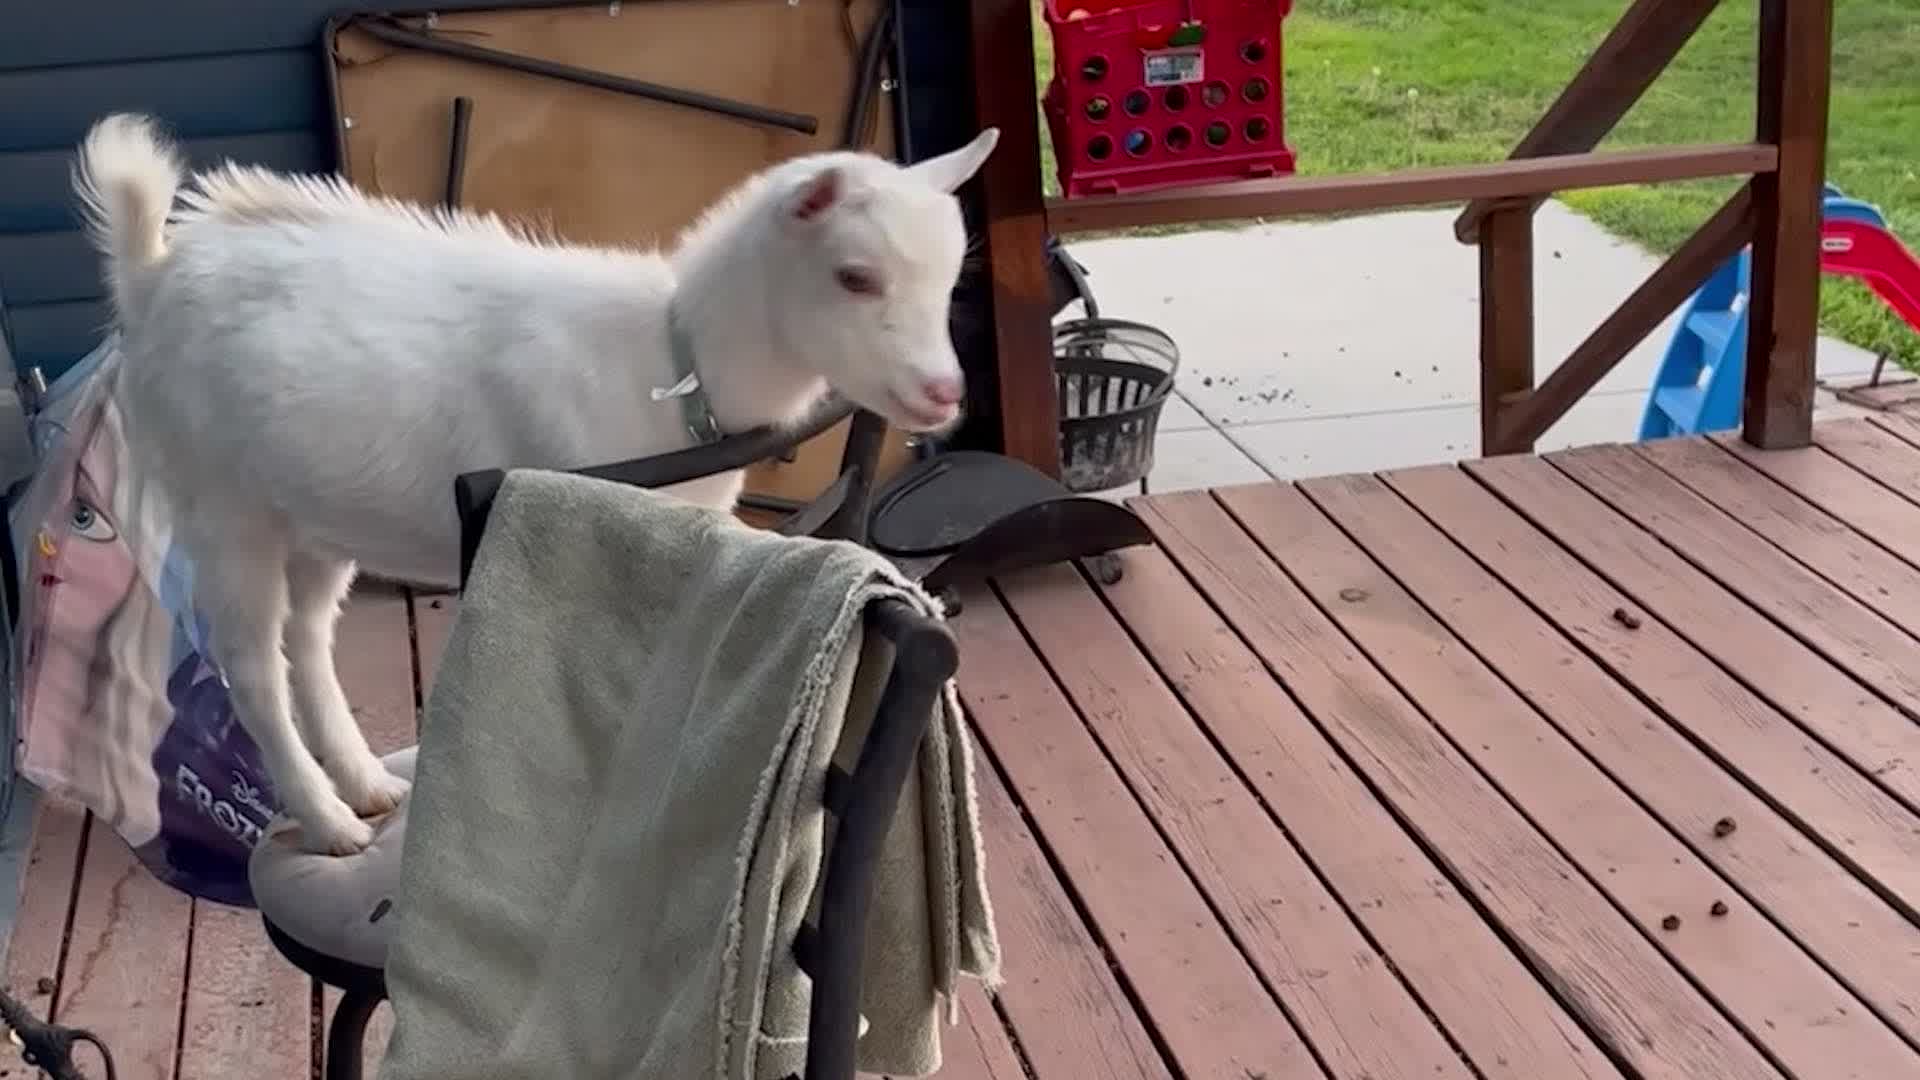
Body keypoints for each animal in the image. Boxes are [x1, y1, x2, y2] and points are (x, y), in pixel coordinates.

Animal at [72, 112, 999, 854]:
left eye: (951, 277)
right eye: (854, 276)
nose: (942, 393)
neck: (672, 361)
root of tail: (150, 274)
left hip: (315, 513)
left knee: (306, 636)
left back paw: (367, 786)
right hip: (223, 503)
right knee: (252, 664)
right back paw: (332, 823)